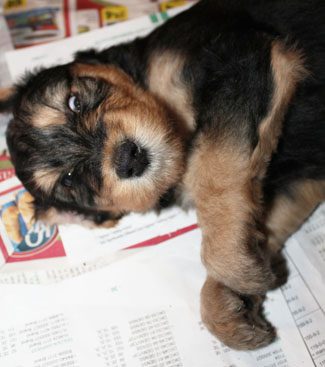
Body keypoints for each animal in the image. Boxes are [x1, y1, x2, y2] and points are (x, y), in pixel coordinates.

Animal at [0, 0, 324, 350]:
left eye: (74, 102)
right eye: (70, 178)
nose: (128, 158)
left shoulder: (241, 57)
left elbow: (213, 172)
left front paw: (233, 270)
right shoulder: (298, 181)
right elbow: (260, 221)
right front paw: (230, 304)